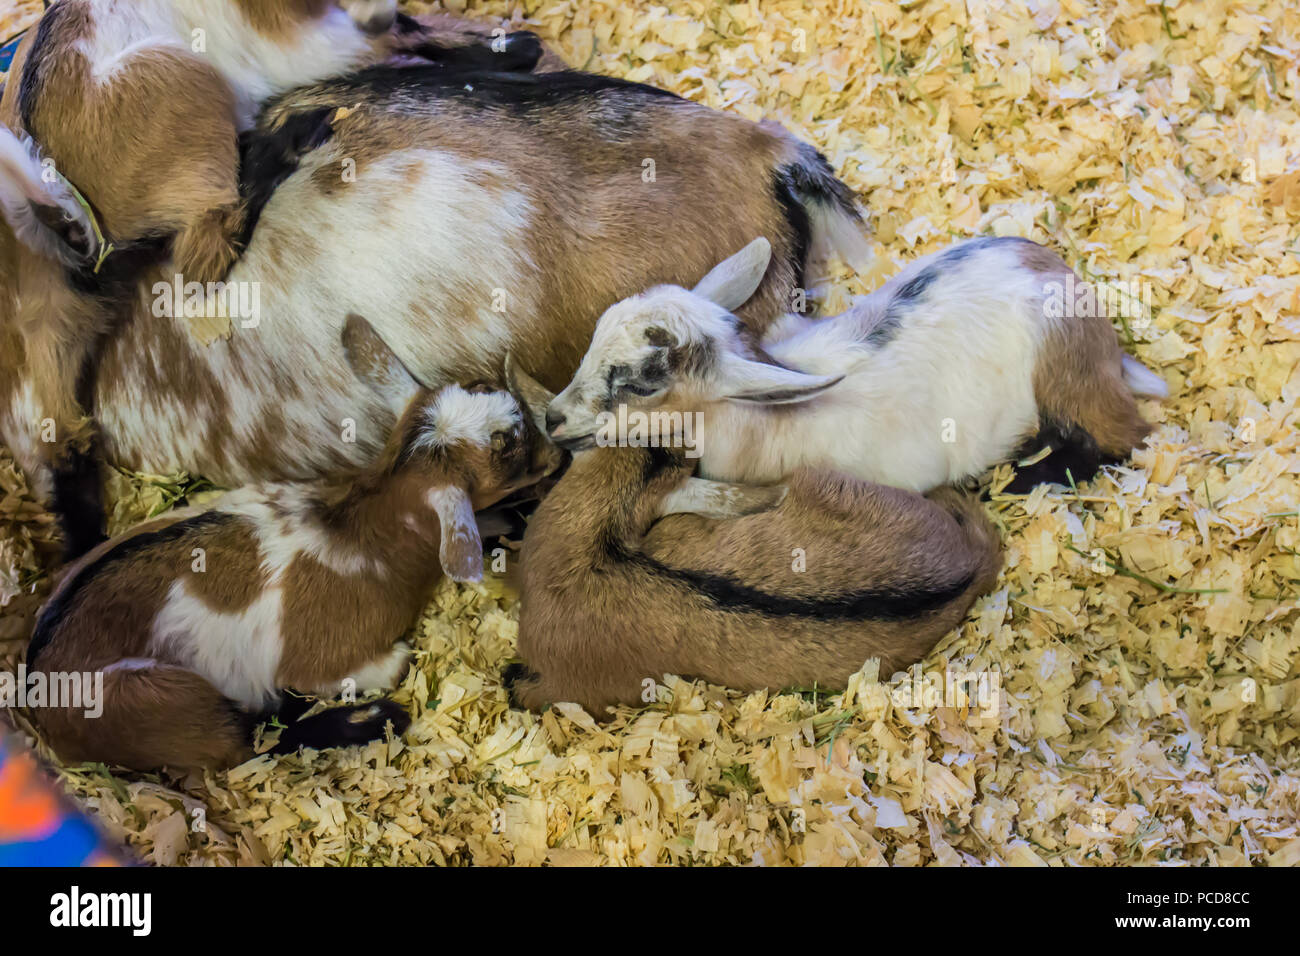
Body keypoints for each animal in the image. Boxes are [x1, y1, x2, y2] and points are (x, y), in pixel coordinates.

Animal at [22, 315, 562, 771]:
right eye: (510, 452)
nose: (557, 455)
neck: (363, 531)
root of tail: (37, 694)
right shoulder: (326, 658)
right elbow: (395, 661)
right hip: (159, 699)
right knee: (242, 745)